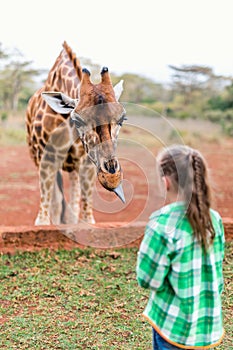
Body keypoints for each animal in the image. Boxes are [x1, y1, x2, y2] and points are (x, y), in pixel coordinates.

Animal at [25, 41, 125, 226]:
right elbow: (46, 213)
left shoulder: (86, 162)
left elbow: (85, 214)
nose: (112, 176)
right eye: (78, 121)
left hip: (73, 167)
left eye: (122, 119)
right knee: (57, 201)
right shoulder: (46, 158)